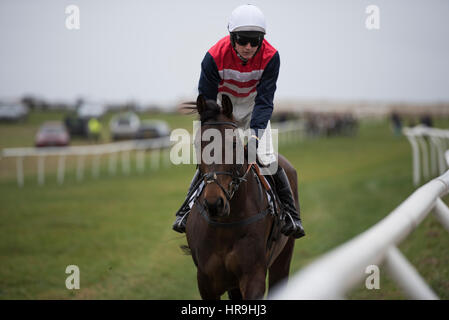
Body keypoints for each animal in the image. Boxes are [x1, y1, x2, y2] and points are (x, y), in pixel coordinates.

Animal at [184, 94, 300, 298]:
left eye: (234, 143)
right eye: (198, 144)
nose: (214, 203)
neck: (225, 226)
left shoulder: (253, 277)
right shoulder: (205, 281)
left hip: (283, 258)